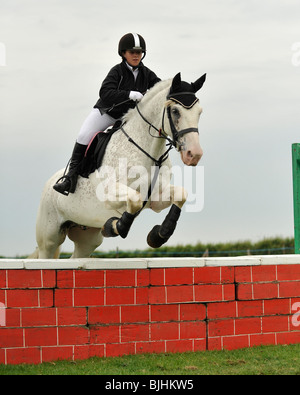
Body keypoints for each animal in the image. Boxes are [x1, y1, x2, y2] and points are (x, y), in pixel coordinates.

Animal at [28, 72, 206, 260]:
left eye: (199, 112)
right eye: (175, 111)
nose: (194, 154)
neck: (147, 150)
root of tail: (49, 183)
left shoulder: (156, 198)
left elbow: (181, 195)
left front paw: (158, 236)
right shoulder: (110, 194)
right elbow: (134, 200)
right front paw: (114, 226)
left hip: (87, 237)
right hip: (49, 237)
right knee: (46, 252)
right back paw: (65, 184)